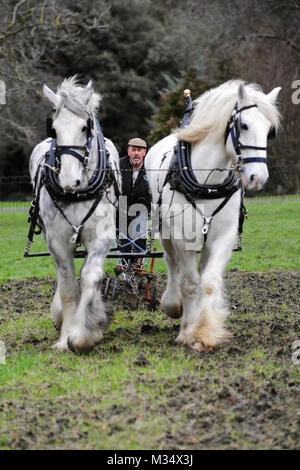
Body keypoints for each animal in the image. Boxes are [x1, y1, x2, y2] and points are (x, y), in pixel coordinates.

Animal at [28, 77, 120, 350]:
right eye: (54, 129)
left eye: (84, 128)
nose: (69, 181)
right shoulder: (57, 240)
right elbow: (68, 285)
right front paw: (66, 334)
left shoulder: (101, 238)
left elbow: (89, 277)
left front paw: (84, 333)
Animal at [145, 80, 282, 348]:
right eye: (243, 125)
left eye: (269, 131)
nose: (258, 177)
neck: (207, 181)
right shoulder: (183, 237)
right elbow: (189, 283)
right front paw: (188, 330)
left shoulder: (224, 237)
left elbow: (207, 282)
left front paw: (205, 330)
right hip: (165, 229)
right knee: (171, 262)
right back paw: (173, 303)